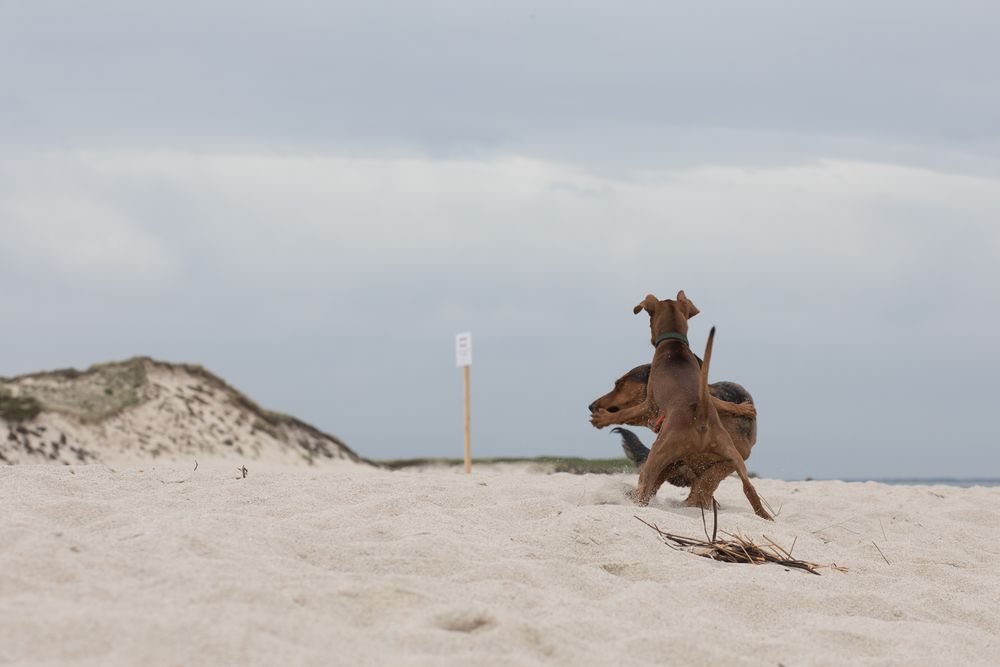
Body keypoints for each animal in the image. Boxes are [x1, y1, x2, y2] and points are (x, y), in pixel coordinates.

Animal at [612, 294, 768, 520]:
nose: (594, 407)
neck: (675, 345)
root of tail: (700, 417)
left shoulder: (649, 402)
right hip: (734, 457)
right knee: (749, 490)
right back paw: (766, 517)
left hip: (659, 455)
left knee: (645, 488)